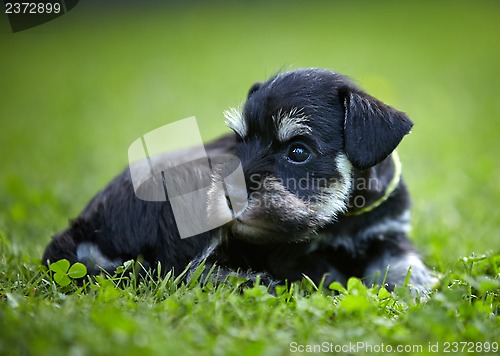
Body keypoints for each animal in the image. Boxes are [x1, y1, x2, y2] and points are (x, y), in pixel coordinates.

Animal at [43, 67, 434, 292]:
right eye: (239, 142)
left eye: (298, 151)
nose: (229, 195)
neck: (344, 218)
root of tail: (83, 227)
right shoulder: (290, 255)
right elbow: (327, 274)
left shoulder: (388, 233)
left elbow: (404, 264)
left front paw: (420, 290)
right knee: (179, 274)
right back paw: (251, 281)